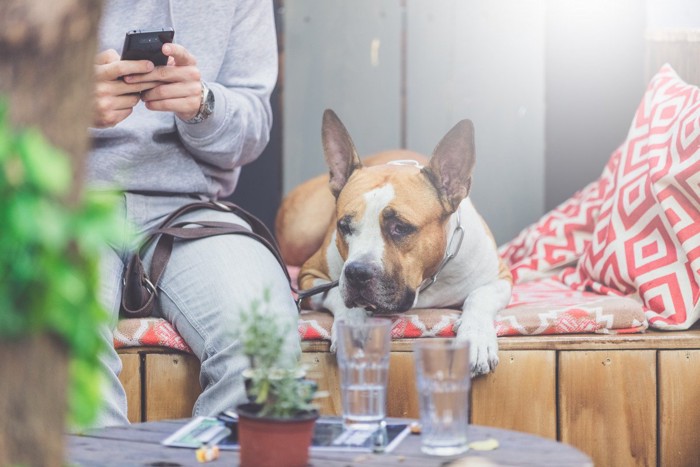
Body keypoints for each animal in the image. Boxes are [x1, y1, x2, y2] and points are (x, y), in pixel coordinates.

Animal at [276, 109, 512, 376]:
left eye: (400, 228)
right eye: (344, 226)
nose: (357, 273)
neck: (425, 283)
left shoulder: (499, 277)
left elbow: (479, 297)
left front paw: (476, 336)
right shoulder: (310, 275)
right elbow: (337, 292)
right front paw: (354, 323)